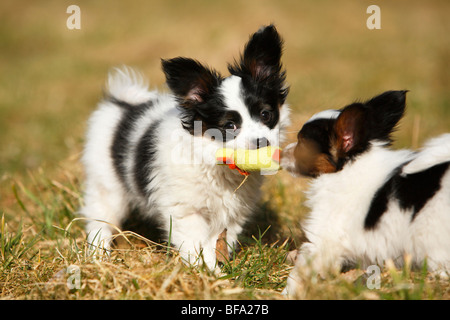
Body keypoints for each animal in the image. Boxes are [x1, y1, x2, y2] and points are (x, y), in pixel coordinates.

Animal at [80, 25, 290, 270]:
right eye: (229, 126)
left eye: (266, 114)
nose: (262, 143)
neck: (213, 159)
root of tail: (122, 103)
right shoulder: (186, 212)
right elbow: (195, 245)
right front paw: (207, 272)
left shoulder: (230, 214)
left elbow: (218, 242)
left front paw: (219, 269)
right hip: (107, 187)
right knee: (100, 220)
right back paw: (98, 256)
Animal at [282, 90, 450, 298]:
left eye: (302, 144)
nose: (280, 153)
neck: (351, 166)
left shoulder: (324, 240)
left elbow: (300, 271)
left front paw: (288, 292)